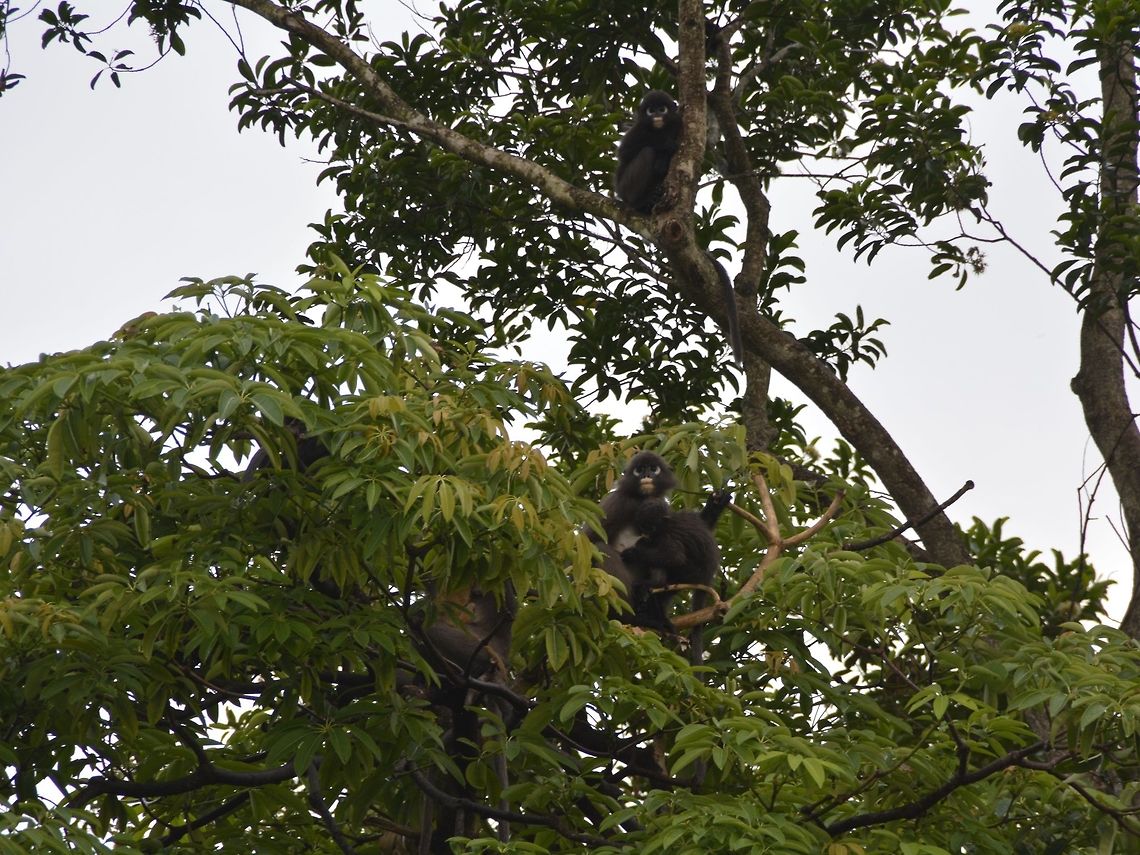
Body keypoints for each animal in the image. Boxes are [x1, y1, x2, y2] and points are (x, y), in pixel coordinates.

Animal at [613, 91, 745, 370]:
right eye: (651, 110)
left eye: (662, 108)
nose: (657, 115)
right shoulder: (638, 131)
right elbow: (627, 152)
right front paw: (664, 146)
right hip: (627, 187)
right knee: (647, 153)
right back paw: (643, 201)